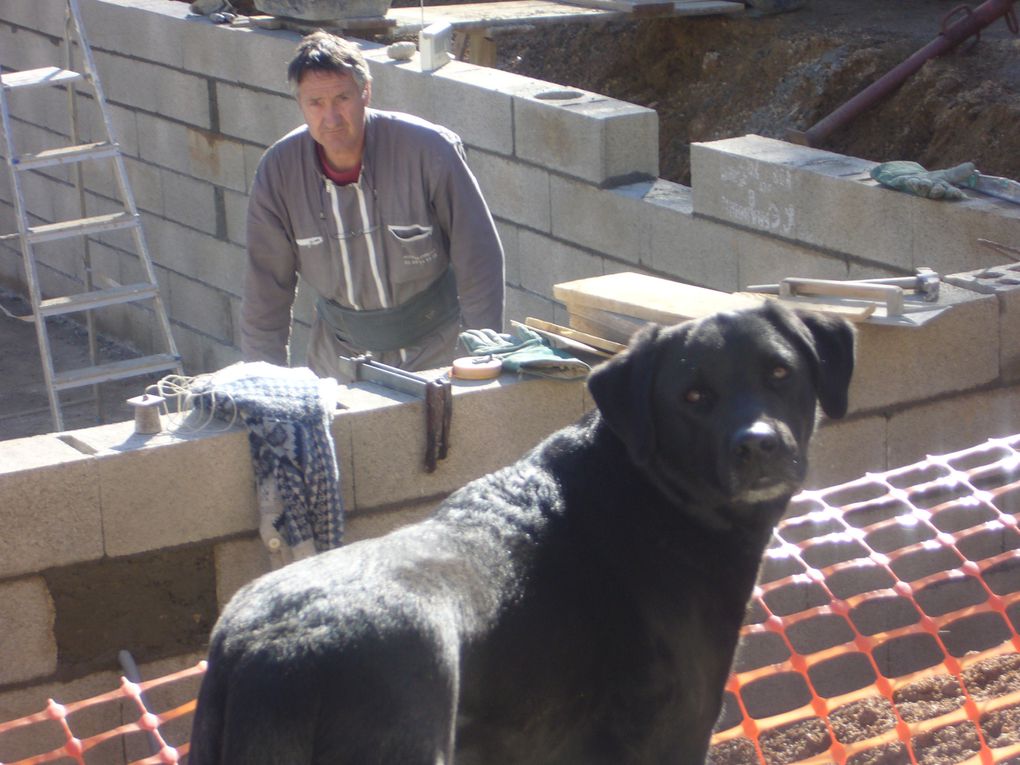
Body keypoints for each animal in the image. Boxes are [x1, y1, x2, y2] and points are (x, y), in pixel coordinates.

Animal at [189, 301, 852, 762]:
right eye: (693, 396)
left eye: (779, 372)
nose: (759, 445)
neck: (653, 490)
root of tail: (265, 648)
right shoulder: (681, 729)